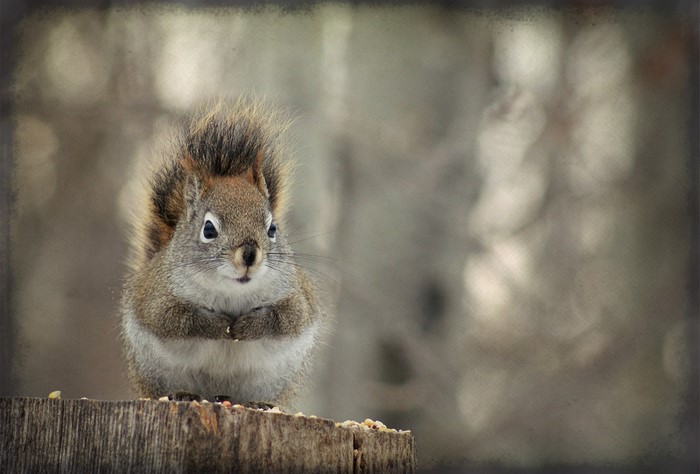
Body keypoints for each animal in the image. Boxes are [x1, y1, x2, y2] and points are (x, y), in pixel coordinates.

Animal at [120, 100, 323, 409]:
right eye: (208, 229)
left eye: (272, 228)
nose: (249, 255)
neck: (232, 292)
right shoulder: (159, 298)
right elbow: (176, 319)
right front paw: (219, 326)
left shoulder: (295, 296)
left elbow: (287, 317)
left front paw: (247, 327)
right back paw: (184, 394)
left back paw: (259, 404)